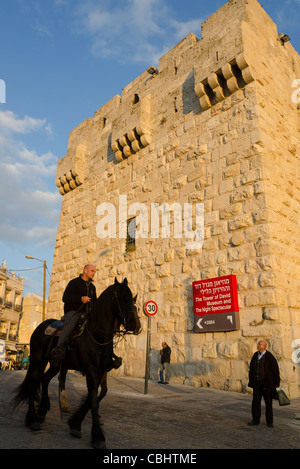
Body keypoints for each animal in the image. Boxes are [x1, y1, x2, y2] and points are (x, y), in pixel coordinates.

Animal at [11, 276, 142, 448]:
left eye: (133, 301)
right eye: (121, 298)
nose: (135, 325)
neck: (97, 335)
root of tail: (41, 326)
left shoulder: (101, 370)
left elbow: (97, 395)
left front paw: (75, 423)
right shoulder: (91, 370)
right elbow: (93, 400)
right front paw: (97, 436)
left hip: (56, 364)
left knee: (44, 379)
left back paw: (42, 410)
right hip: (37, 361)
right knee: (33, 382)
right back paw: (32, 418)